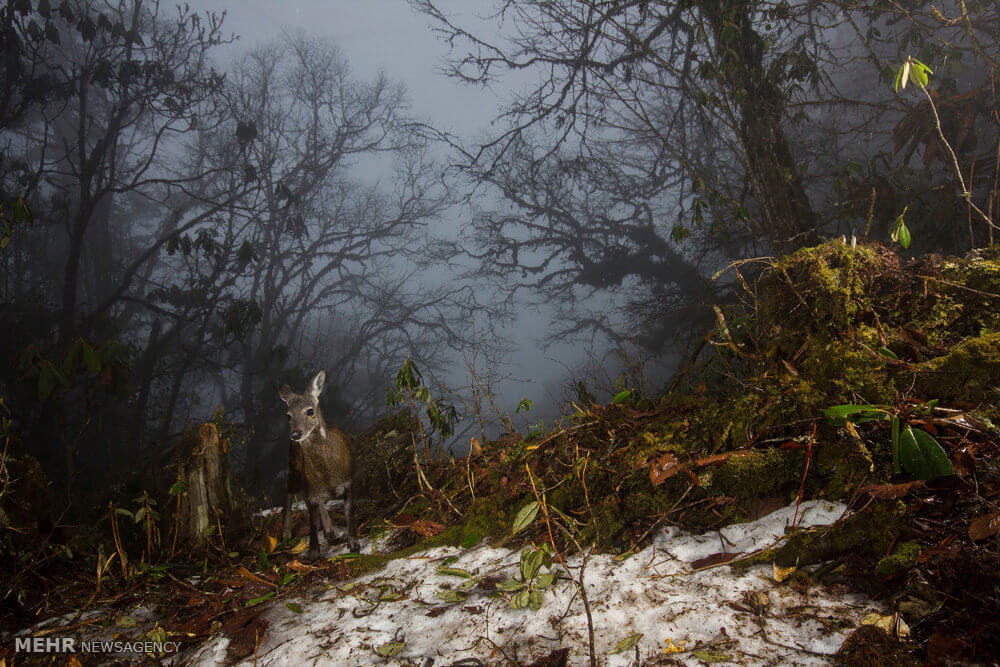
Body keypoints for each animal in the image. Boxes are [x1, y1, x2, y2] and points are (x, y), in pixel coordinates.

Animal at [278, 370, 360, 560]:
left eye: (309, 411)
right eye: (288, 415)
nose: (296, 433)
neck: (328, 475)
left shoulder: (348, 483)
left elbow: (349, 513)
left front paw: (353, 543)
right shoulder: (310, 490)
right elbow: (312, 523)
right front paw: (312, 552)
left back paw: (331, 532)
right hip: (296, 471)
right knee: (287, 488)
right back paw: (285, 533)